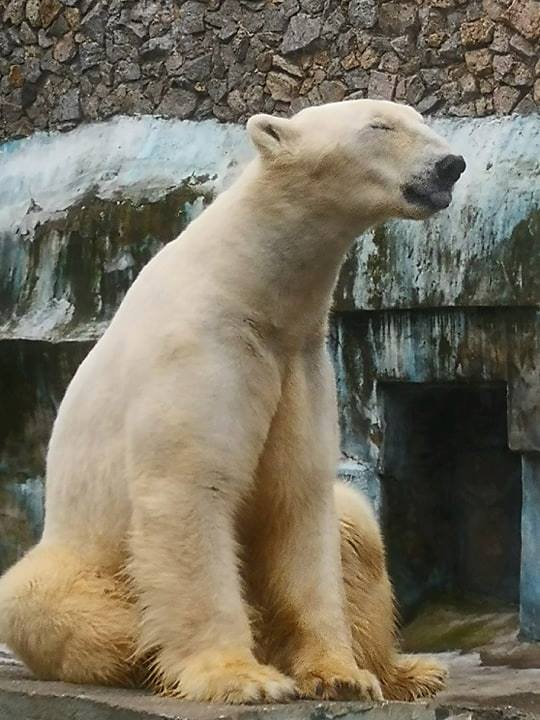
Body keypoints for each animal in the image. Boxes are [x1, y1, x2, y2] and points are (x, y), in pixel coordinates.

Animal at [0, 100, 464, 704]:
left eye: (420, 120)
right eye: (378, 127)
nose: (450, 165)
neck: (247, 288)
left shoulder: (300, 364)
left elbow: (301, 501)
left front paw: (341, 674)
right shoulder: (202, 353)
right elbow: (191, 490)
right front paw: (244, 678)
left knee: (358, 528)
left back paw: (409, 670)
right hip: (77, 563)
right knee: (60, 606)